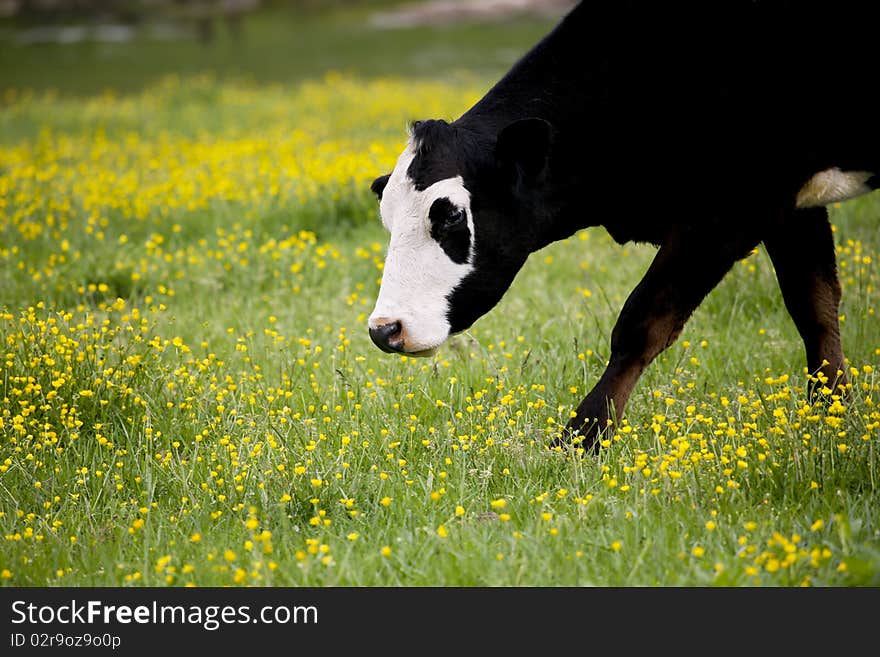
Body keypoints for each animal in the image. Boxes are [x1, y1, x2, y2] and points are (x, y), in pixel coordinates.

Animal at [366, 0, 880, 452]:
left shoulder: (731, 208)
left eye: (450, 215)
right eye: (387, 217)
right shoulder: (789, 205)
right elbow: (813, 305)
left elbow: (641, 321)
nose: (384, 330)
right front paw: (831, 416)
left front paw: (580, 440)